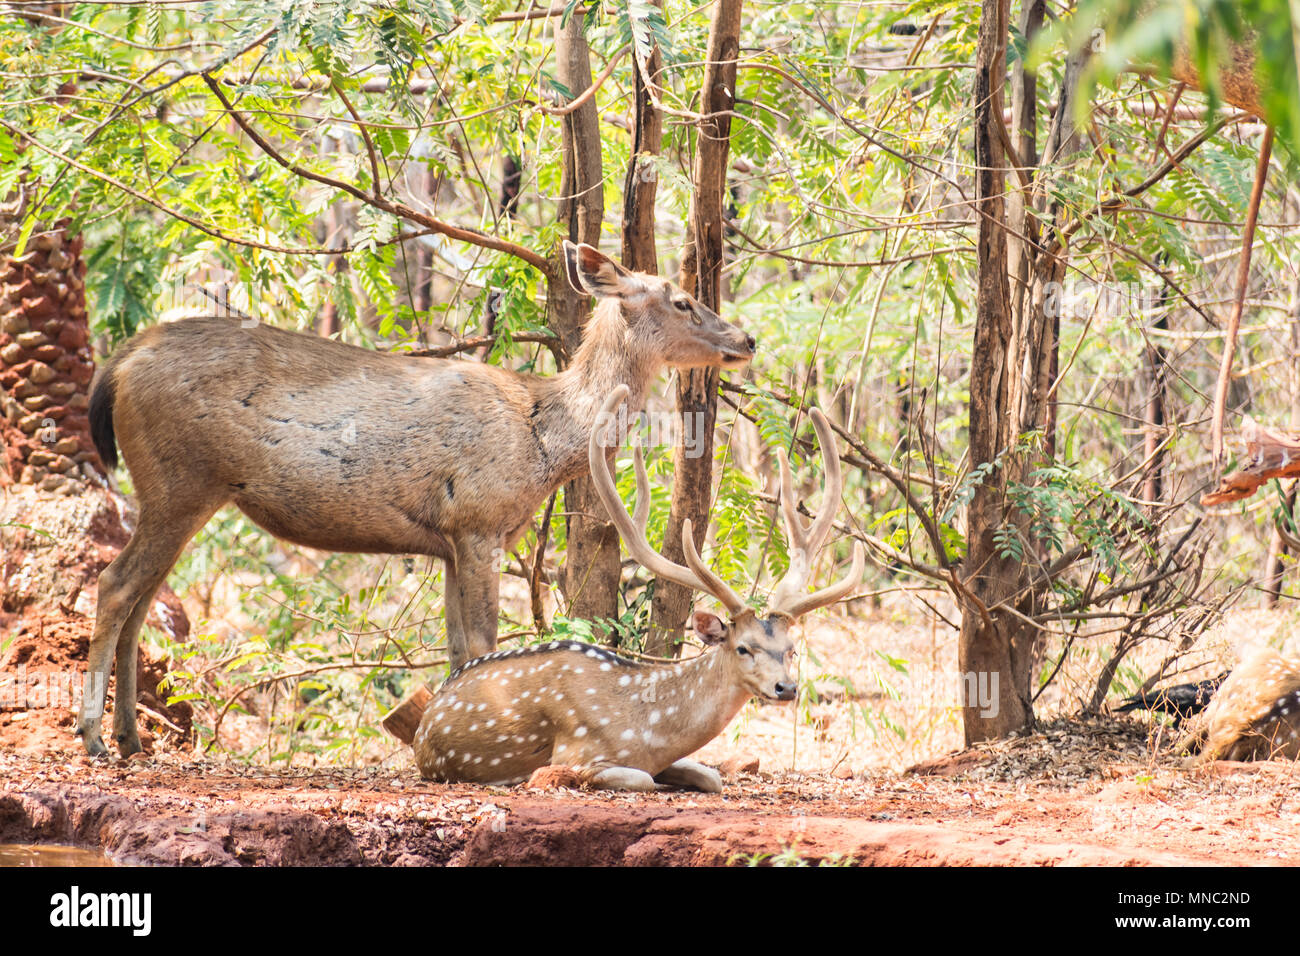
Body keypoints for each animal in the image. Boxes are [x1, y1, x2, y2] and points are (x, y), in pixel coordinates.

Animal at [78, 239, 754, 754]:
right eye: (683, 299)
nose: (745, 340)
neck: (543, 437)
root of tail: (119, 364)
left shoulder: (450, 542)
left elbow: (457, 649)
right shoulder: (478, 520)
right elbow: (483, 645)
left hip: (178, 491)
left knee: (143, 601)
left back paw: (131, 739)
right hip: (180, 481)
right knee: (115, 584)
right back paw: (94, 737)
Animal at [413, 385, 863, 790]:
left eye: (791, 649)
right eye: (742, 647)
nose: (786, 687)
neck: (648, 728)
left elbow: (711, 776)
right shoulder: (579, 752)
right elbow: (642, 779)